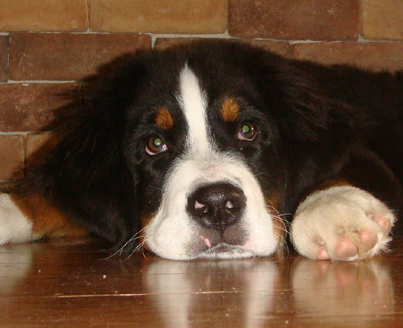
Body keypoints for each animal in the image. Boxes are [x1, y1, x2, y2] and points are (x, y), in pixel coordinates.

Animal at [0, 40, 403, 262]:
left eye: (247, 130)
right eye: (154, 144)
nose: (217, 205)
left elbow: (330, 172)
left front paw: (334, 210)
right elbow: (49, 195)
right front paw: (10, 207)